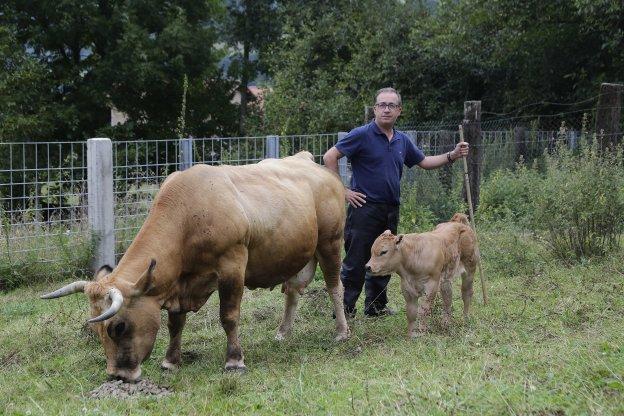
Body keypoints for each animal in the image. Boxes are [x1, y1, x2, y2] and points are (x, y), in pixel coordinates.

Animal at [41, 152, 348, 380]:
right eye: (96, 331)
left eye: (118, 326)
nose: (118, 375)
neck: (188, 216)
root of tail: (310, 163)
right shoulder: (180, 284)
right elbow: (175, 323)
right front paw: (170, 361)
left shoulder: (232, 266)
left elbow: (229, 316)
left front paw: (234, 360)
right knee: (293, 291)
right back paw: (283, 333)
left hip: (331, 242)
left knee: (335, 286)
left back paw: (342, 332)